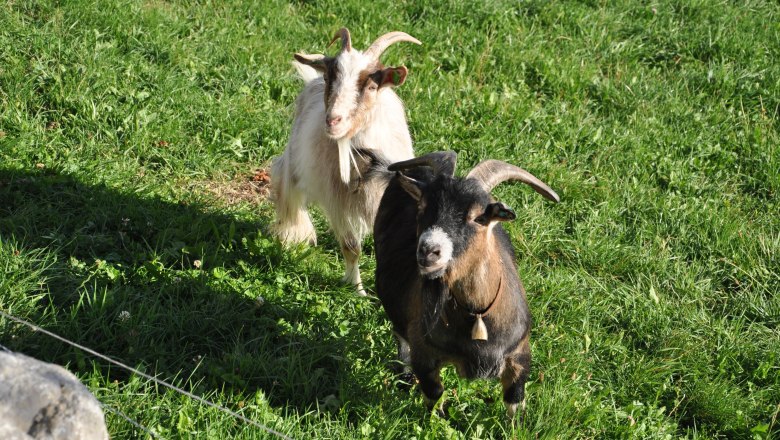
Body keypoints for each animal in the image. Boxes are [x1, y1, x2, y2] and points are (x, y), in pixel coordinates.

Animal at [270, 28, 421, 296]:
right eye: (331, 77)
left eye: (371, 85)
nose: (333, 120)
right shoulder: (337, 202)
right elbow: (351, 247)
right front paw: (356, 289)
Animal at [374, 151, 559, 418]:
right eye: (423, 207)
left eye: (479, 217)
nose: (428, 251)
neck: (478, 315)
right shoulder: (424, 355)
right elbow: (434, 398)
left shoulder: (520, 355)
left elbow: (515, 400)